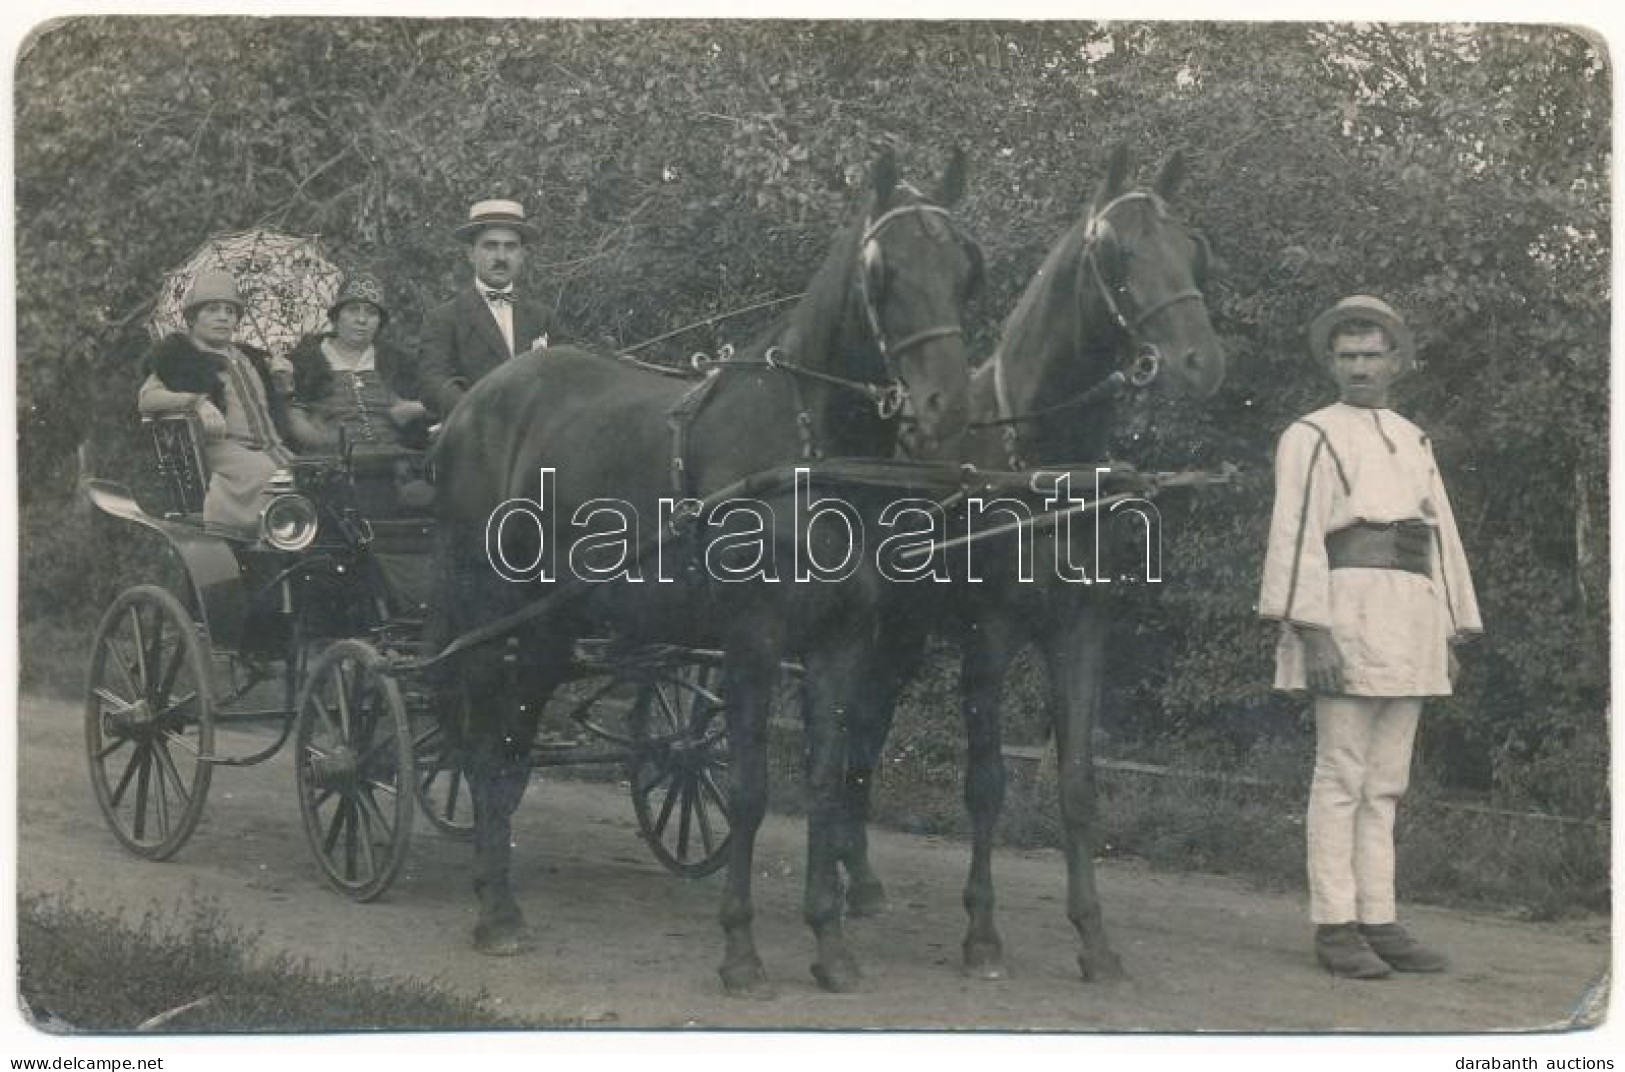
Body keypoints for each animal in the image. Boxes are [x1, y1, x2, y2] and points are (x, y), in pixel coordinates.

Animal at [845, 146, 1222, 981]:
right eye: (1117, 253)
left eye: (1191, 249)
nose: (1200, 362)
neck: (1042, 463)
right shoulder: (988, 633)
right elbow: (986, 781)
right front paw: (981, 933)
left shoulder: (1080, 630)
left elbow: (1078, 785)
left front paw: (1094, 937)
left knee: (863, 730)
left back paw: (857, 877)